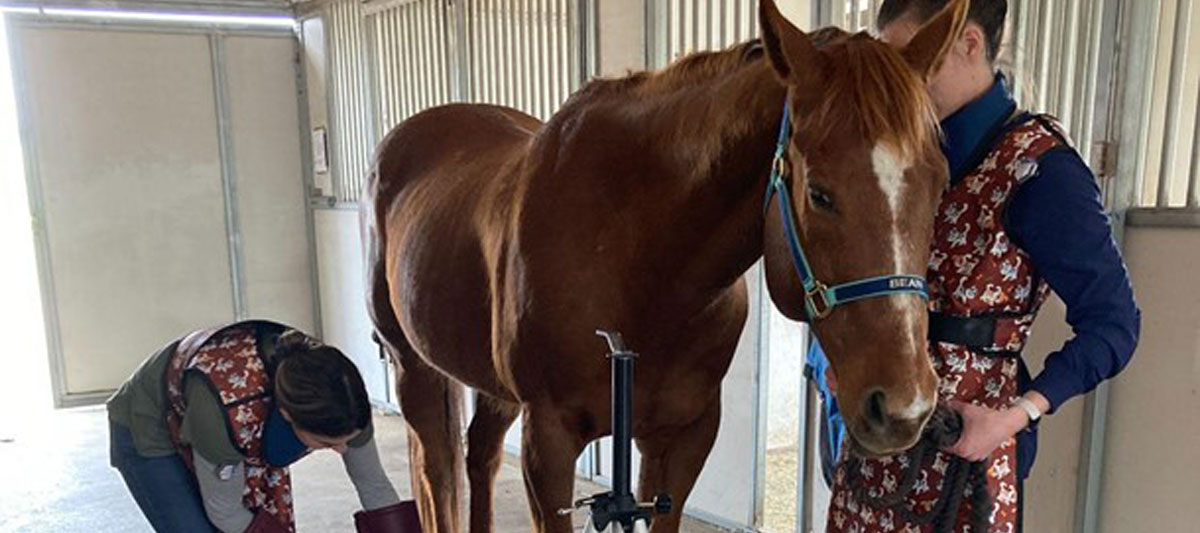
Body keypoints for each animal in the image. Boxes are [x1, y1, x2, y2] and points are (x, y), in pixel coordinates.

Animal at [362, 2, 964, 530]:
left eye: (939, 182)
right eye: (819, 193)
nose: (906, 408)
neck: (637, 263)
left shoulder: (681, 438)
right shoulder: (548, 443)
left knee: (479, 457)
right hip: (413, 369)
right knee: (437, 474)